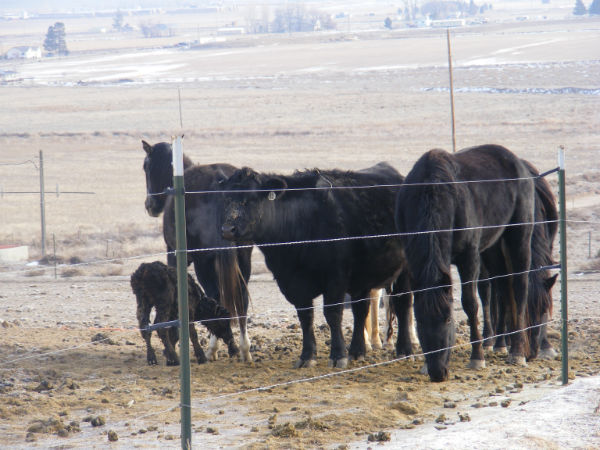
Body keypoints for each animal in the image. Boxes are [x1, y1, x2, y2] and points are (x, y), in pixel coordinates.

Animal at [141, 141, 253, 362]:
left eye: (145, 166)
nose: (149, 205)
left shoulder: (174, 256)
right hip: (244, 256)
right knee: (242, 296)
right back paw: (245, 349)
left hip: (205, 262)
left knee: (215, 297)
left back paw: (212, 349)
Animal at [220, 163, 412, 368]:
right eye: (227, 199)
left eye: (251, 199)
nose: (227, 229)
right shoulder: (291, 282)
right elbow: (305, 317)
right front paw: (307, 356)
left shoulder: (336, 277)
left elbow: (332, 314)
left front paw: (338, 355)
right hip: (362, 278)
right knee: (361, 309)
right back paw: (357, 351)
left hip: (405, 270)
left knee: (403, 303)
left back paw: (404, 349)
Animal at [398, 145, 536, 384]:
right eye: (419, 321)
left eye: (447, 319)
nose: (437, 373)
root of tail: (518, 163)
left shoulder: (469, 257)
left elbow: (470, 303)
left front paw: (477, 357)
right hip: (493, 247)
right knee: (504, 287)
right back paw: (501, 345)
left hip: (518, 237)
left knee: (519, 287)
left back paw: (517, 352)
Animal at [478, 158, 556, 358]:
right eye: (525, 310)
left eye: (544, 309)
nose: (533, 352)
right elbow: (505, 297)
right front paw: (503, 343)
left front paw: (546, 345)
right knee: (488, 293)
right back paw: (491, 339)